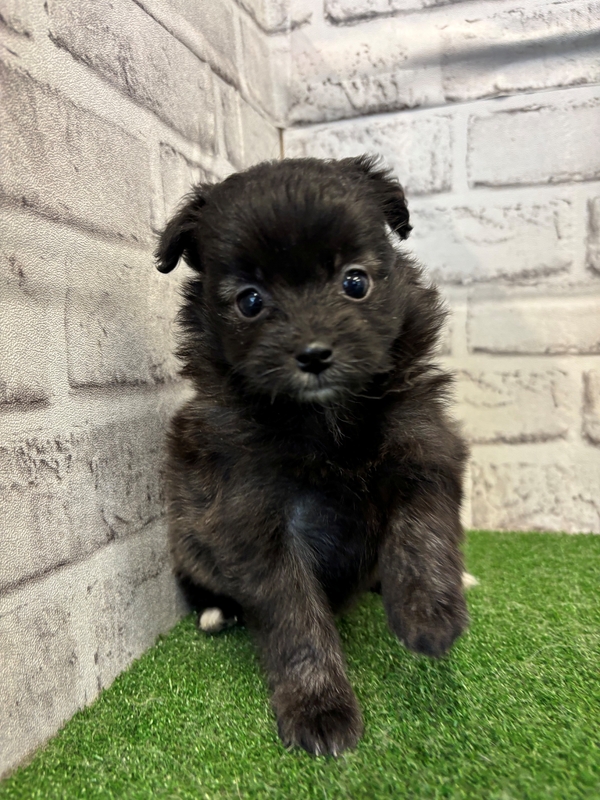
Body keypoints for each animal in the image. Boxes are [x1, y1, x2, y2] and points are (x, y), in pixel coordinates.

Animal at [155, 155, 469, 757]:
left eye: (356, 282)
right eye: (250, 300)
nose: (315, 353)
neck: (322, 419)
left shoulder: (424, 444)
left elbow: (423, 529)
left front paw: (429, 612)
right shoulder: (254, 516)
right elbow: (296, 618)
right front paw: (319, 708)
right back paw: (215, 613)